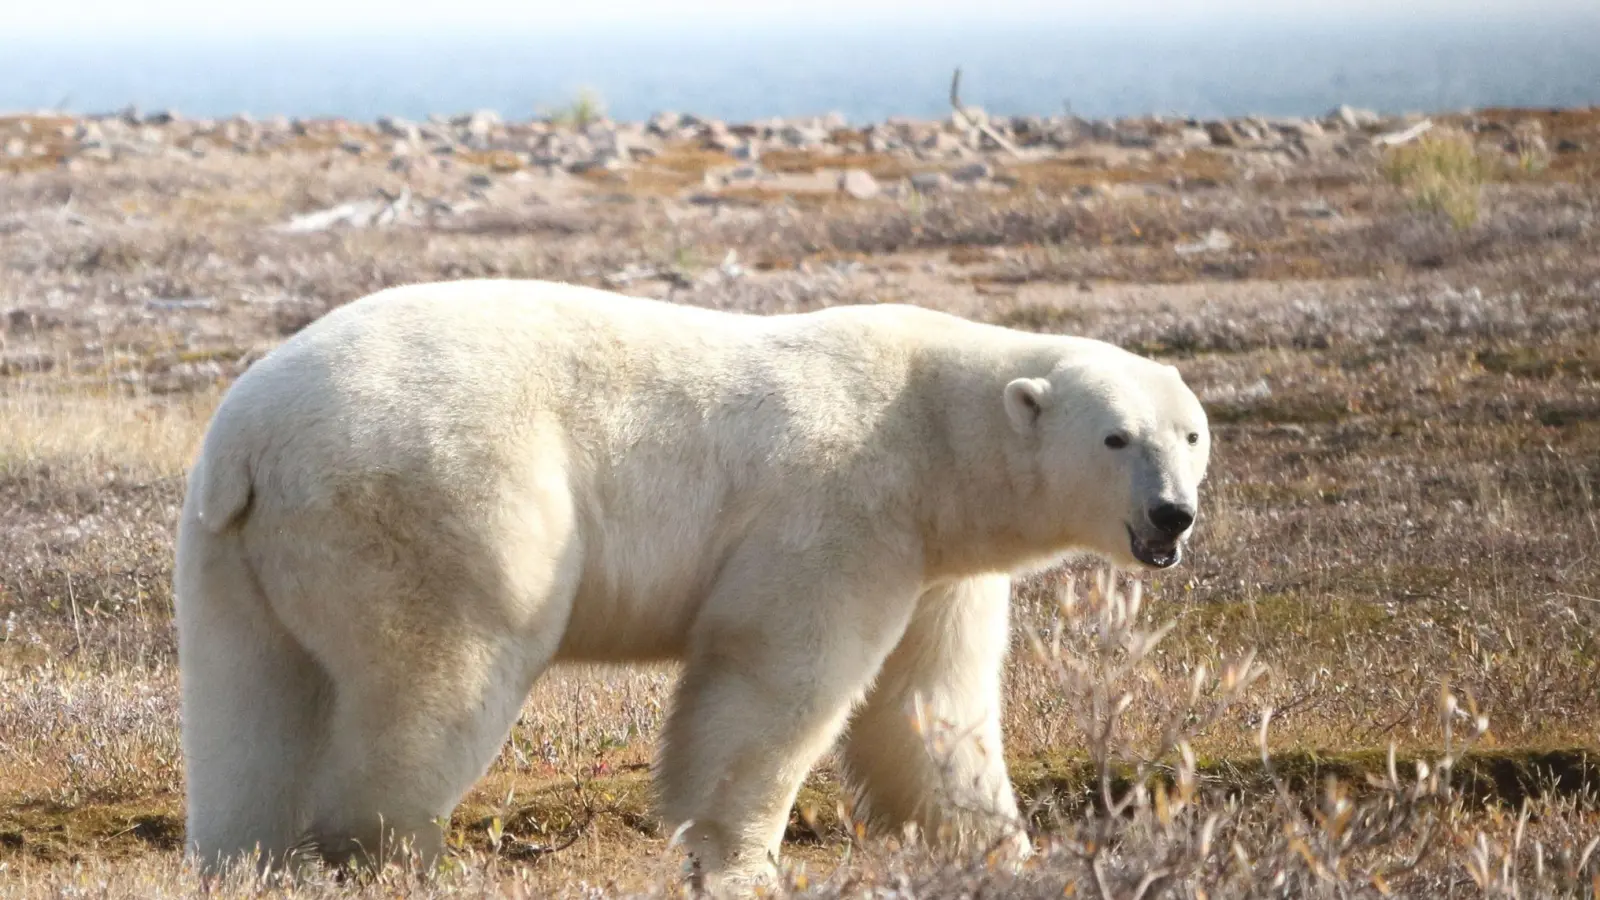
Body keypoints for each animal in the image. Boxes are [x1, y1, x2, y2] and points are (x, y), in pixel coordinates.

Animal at [168, 277, 1203, 883]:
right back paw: (403, 853)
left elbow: (931, 703)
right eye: (1117, 437)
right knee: (439, 671)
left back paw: (244, 859)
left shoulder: (940, 562)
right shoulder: (842, 504)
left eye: (1190, 434)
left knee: (250, 705)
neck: (931, 428)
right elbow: (777, 677)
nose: (1172, 516)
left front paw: (1001, 849)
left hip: (233, 552)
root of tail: (251, 439)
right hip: (434, 500)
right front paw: (738, 861)